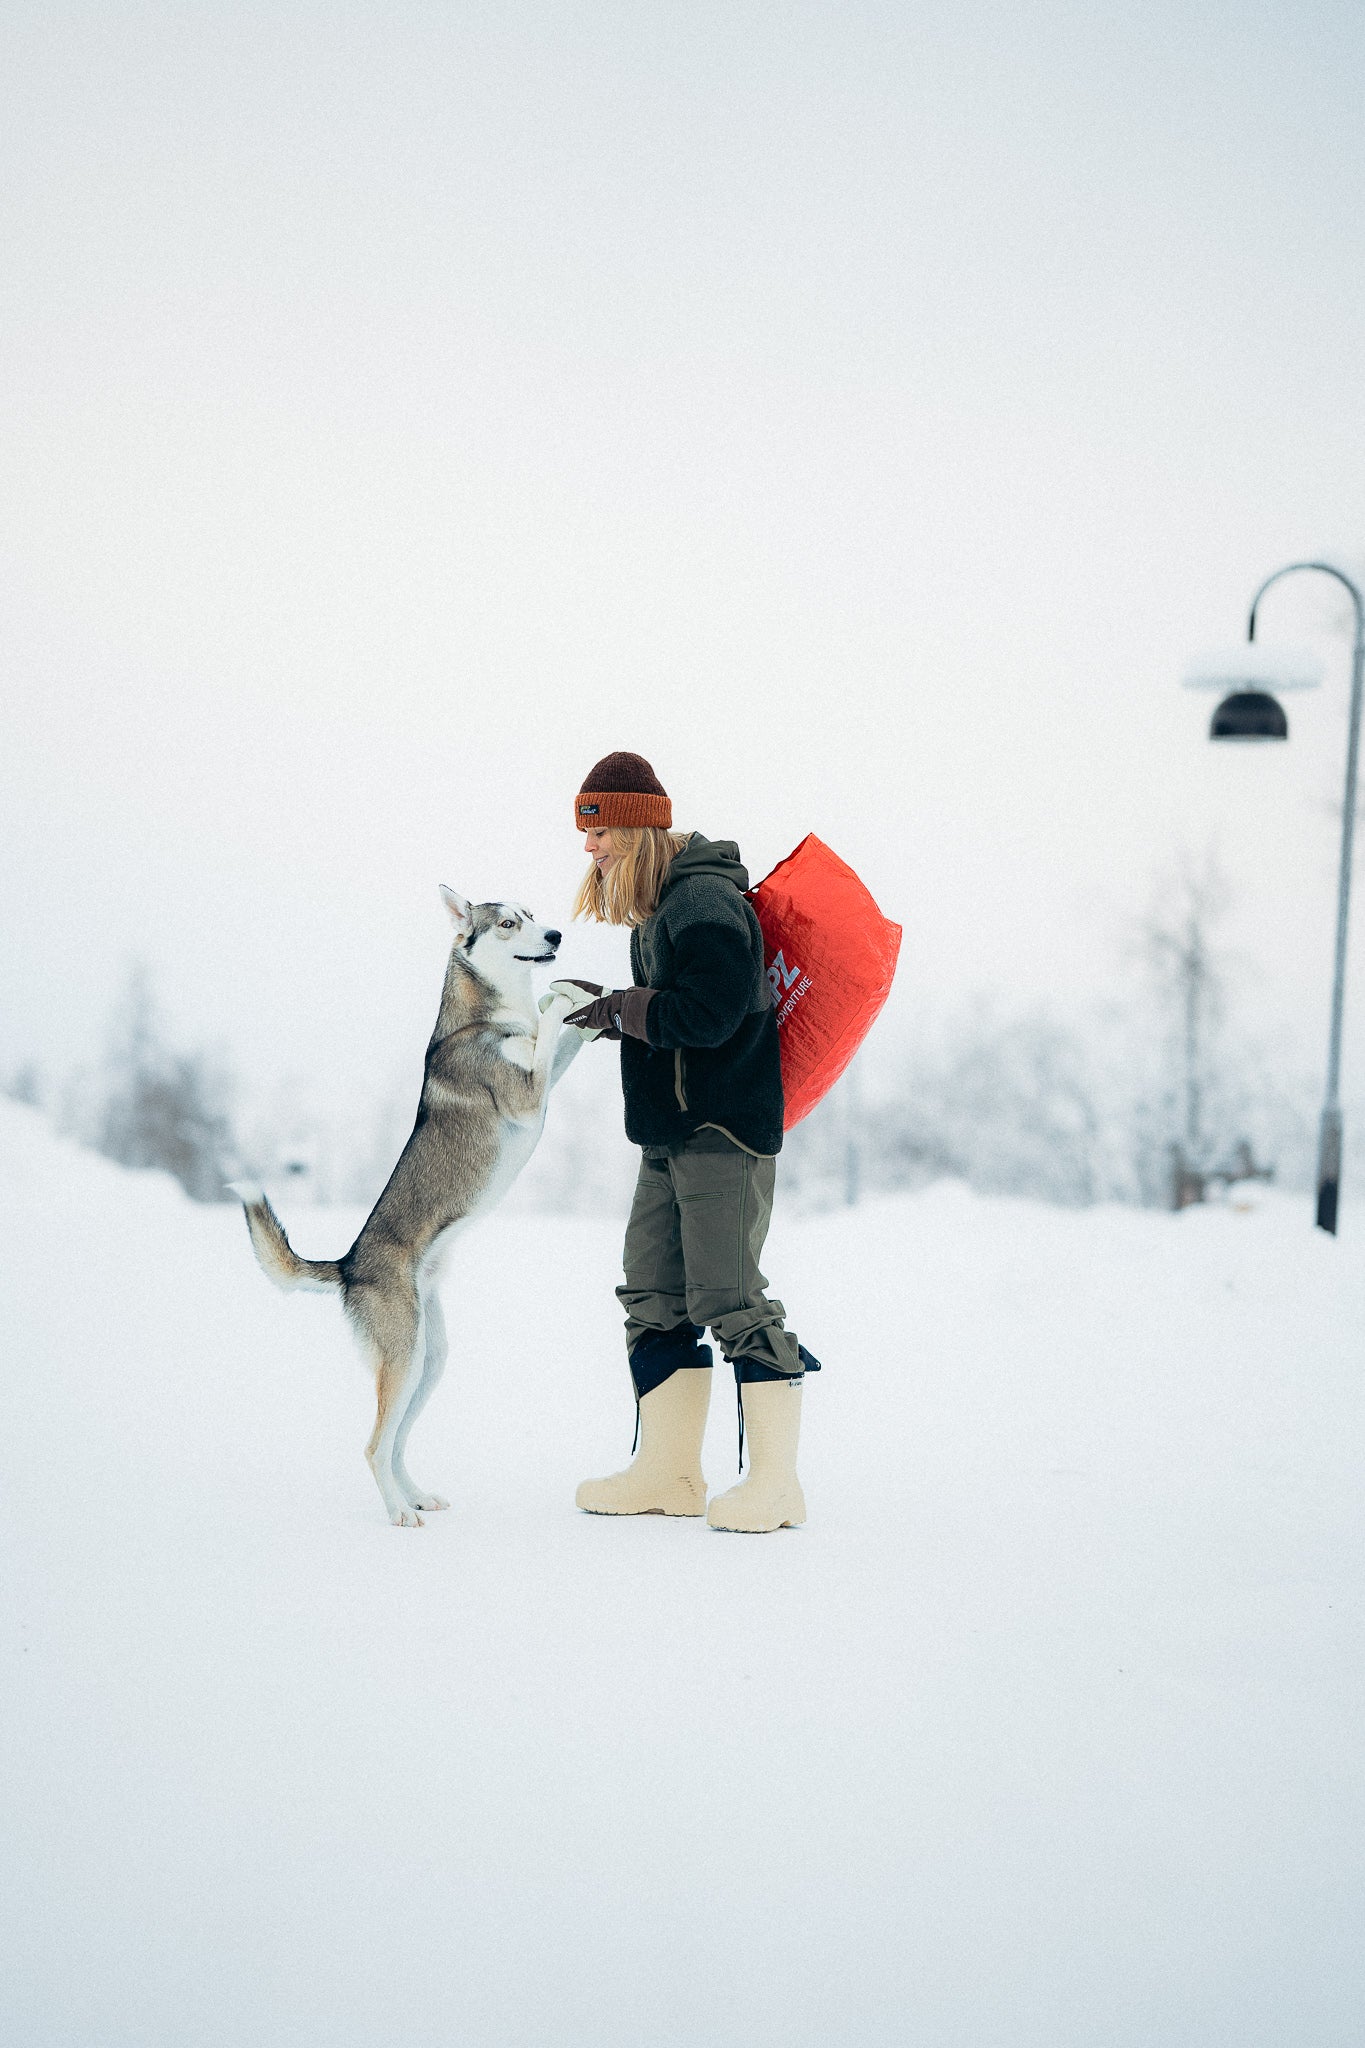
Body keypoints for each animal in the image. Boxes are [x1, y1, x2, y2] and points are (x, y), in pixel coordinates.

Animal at [229, 888, 593, 1531]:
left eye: (531, 914)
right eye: (508, 924)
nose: (554, 936)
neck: (488, 1016)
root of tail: (349, 1264)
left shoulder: (544, 1083)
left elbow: (558, 1037)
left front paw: (580, 1001)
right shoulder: (528, 1097)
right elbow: (549, 1030)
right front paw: (564, 1000)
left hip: (430, 1357)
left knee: (396, 1442)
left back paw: (414, 1496)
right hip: (404, 1357)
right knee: (375, 1445)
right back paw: (399, 1514)